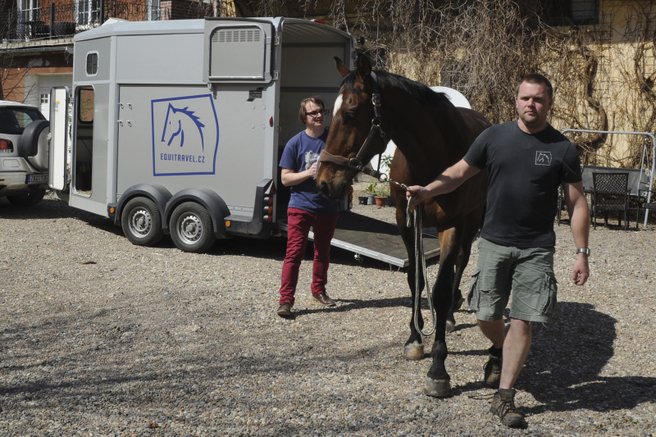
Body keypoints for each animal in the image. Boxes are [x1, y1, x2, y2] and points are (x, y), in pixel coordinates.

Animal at [316, 52, 490, 396]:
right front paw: (414, 337)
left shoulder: (451, 225)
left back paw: (450, 315)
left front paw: (438, 369)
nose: (324, 182)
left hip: (472, 219)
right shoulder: (405, 219)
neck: (433, 157)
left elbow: (439, 289)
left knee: (461, 262)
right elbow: (414, 279)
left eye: (351, 114)